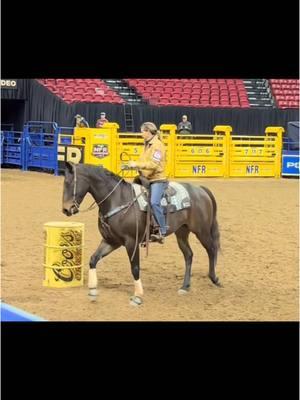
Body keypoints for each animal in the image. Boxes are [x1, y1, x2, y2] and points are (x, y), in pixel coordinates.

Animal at [62, 161, 221, 304]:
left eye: (69, 183)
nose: (66, 209)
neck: (117, 199)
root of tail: (201, 189)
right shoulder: (111, 241)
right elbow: (93, 259)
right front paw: (93, 291)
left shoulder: (131, 242)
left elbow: (135, 268)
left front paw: (138, 295)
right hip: (182, 232)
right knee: (189, 255)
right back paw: (185, 287)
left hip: (202, 231)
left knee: (212, 249)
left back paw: (214, 278)